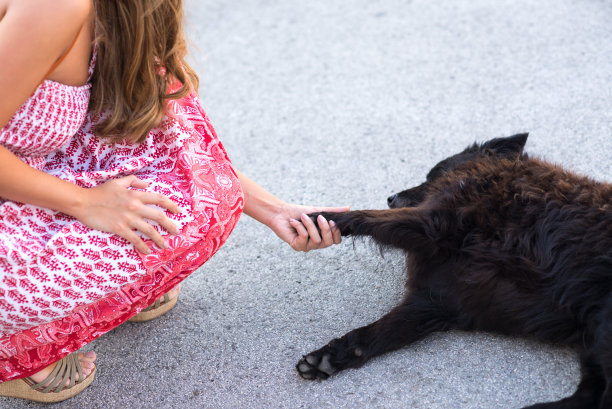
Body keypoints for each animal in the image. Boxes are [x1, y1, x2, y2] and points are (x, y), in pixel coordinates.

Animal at [296, 132, 612, 406]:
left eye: (433, 173)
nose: (390, 197)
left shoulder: (434, 220)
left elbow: (366, 216)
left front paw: (315, 217)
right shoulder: (436, 302)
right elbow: (373, 335)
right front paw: (330, 357)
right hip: (593, 339)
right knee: (589, 396)